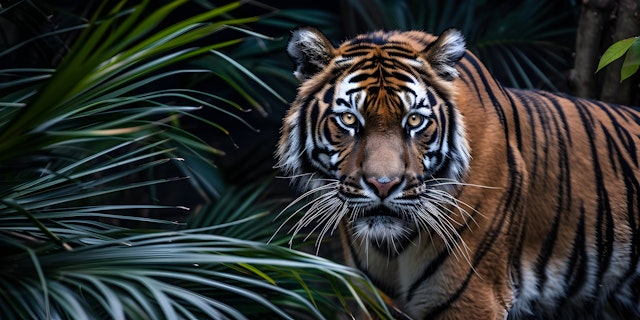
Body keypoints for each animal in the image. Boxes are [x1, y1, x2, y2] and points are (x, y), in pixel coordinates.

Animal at [276, 26, 640, 318]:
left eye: (414, 120)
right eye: (349, 119)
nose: (384, 185)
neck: (390, 246)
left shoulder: (472, 296)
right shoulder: (371, 300)